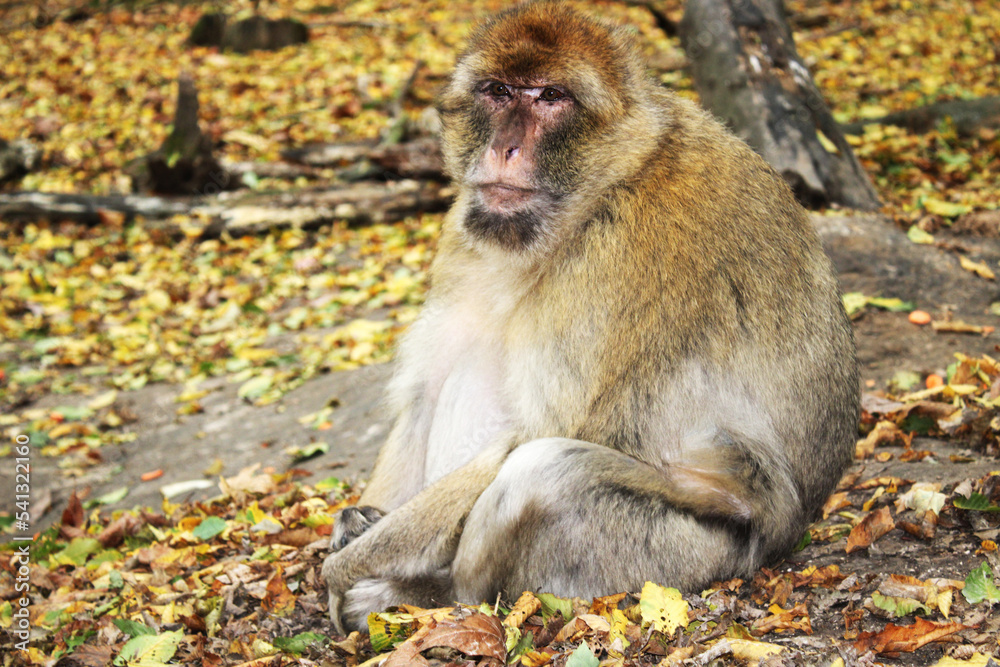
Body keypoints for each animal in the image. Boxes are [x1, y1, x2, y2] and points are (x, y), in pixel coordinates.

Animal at [321, 1, 859, 634]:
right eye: (499, 91)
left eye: (551, 97)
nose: (504, 149)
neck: (606, 183)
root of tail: (788, 538)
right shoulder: (465, 231)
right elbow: (423, 395)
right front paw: (355, 522)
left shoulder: (623, 255)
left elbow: (541, 434)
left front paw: (344, 567)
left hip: (676, 556)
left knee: (546, 469)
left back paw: (435, 593)